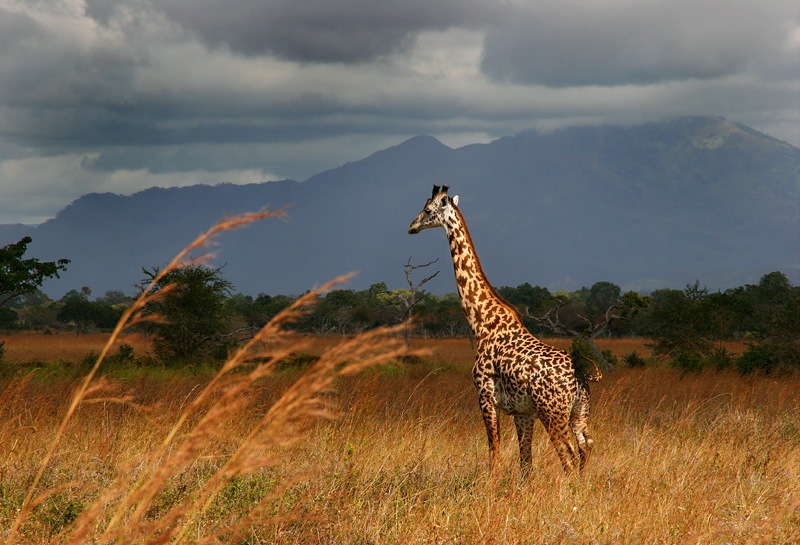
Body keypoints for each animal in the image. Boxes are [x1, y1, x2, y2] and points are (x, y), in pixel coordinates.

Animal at [410, 184, 596, 472]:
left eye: (428, 210)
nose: (412, 226)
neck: (481, 322)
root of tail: (579, 374)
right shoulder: (523, 411)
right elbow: (525, 463)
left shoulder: (486, 397)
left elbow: (494, 454)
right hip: (579, 414)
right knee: (585, 449)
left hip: (553, 413)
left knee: (568, 455)